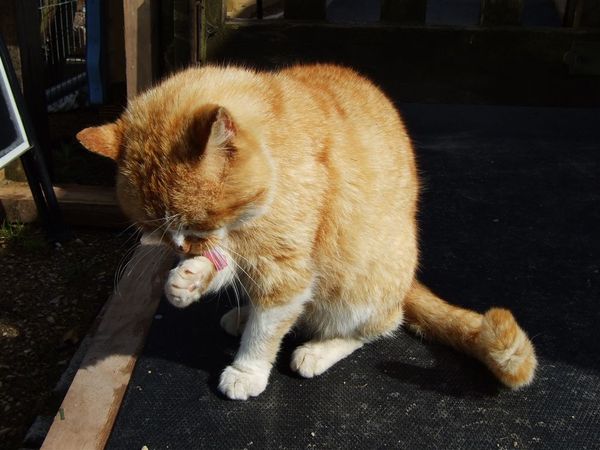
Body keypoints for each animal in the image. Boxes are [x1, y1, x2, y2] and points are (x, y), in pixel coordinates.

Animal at [77, 64, 536, 400]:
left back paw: (317, 350)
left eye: (196, 225)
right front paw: (188, 281)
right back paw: (240, 313)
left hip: (360, 288)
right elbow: (229, 271)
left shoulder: (287, 272)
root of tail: (408, 280)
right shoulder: (244, 252)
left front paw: (247, 370)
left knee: (378, 325)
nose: (184, 249)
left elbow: (266, 331)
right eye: (159, 232)